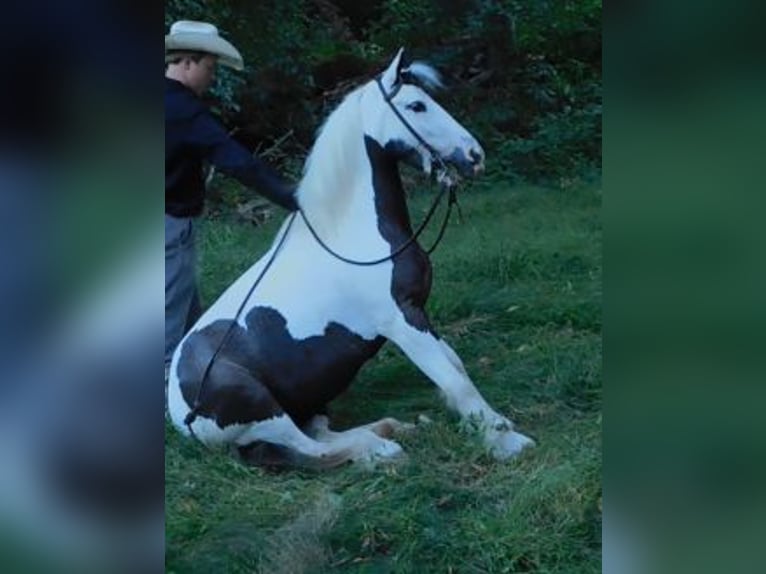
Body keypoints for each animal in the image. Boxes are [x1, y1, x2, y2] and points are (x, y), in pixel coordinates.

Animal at [170, 49, 536, 470]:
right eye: (417, 105)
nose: (475, 155)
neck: (352, 235)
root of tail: (179, 412)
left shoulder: (418, 313)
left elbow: (453, 364)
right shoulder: (401, 320)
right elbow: (455, 379)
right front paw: (505, 441)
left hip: (309, 402)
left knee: (319, 434)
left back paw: (396, 429)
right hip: (262, 408)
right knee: (313, 448)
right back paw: (381, 449)